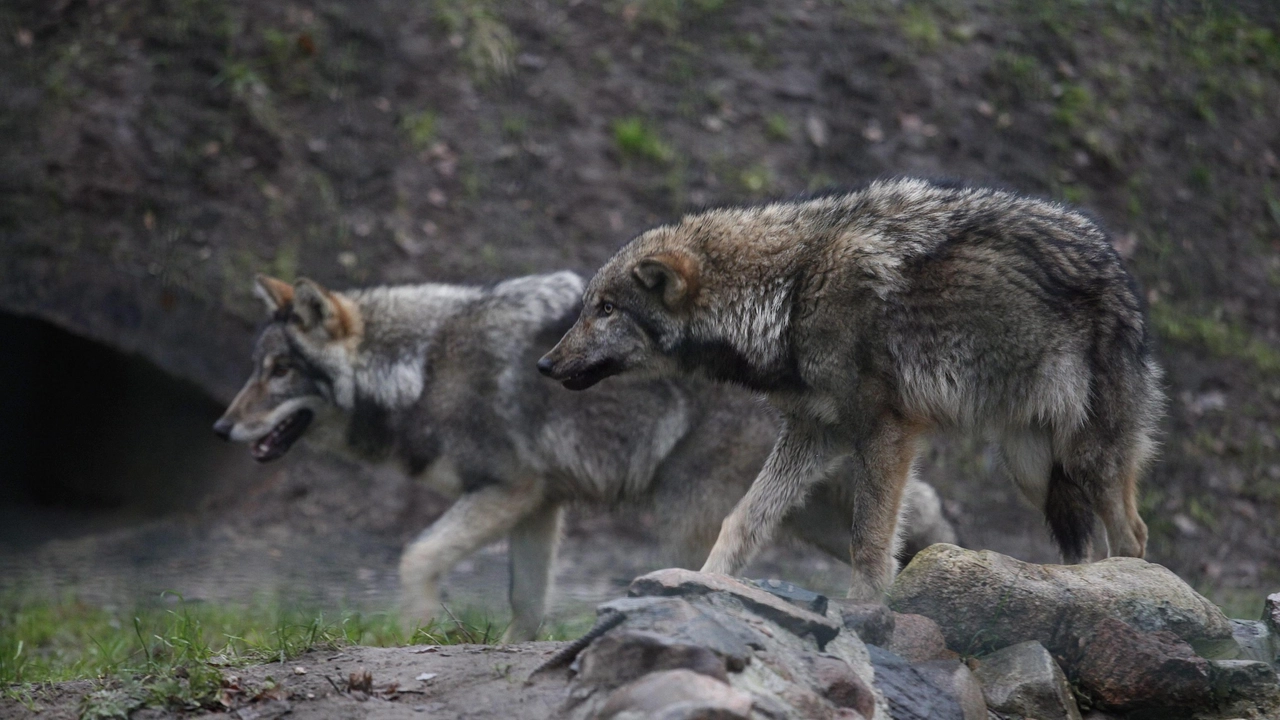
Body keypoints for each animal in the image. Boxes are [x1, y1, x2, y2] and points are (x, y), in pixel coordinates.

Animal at [212, 266, 952, 635]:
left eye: (279, 371)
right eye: (256, 368)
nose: (219, 430)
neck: (419, 366)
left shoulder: (507, 489)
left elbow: (414, 557)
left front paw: (411, 630)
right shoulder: (541, 505)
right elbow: (524, 603)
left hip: (687, 517)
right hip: (810, 511)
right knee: (910, 535)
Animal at [537, 178, 1162, 599]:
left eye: (606, 309)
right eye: (590, 306)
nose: (544, 364)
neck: (788, 293)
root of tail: (1117, 266)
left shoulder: (888, 434)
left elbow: (870, 540)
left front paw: (867, 612)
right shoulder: (814, 433)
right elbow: (742, 520)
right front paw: (704, 583)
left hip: (1084, 460)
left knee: (1133, 533)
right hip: (1034, 471)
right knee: (1086, 540)